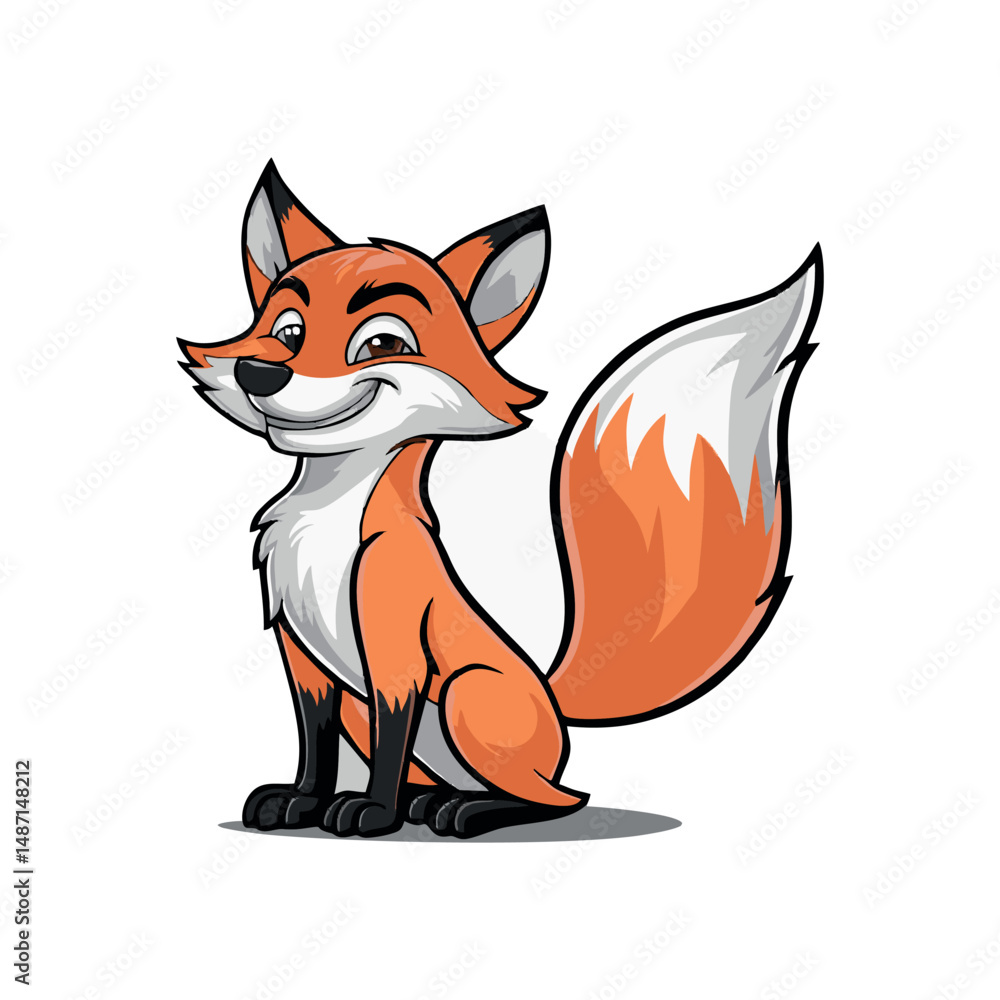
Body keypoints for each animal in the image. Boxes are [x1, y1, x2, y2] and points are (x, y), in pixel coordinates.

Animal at [180, 160, 823, 839]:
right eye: (288, 331)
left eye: (381, 345)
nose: (260, 372)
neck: (325, 521)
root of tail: (554, 703)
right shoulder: (303, 656)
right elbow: (315, 741)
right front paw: (300, 800)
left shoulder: (396, 651)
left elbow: (387, 745)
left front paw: (371, 811)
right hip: (382, 709)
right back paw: (426, 802)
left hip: (466, 695)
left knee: (559, 799)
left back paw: (462, 810)